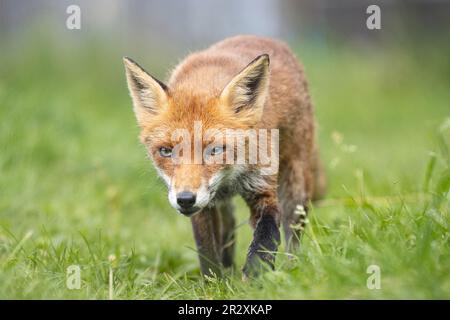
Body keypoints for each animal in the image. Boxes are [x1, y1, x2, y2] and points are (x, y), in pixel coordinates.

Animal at [125, 35, 326, 278]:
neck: (230, 179)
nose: (185, 199)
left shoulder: (262, 189)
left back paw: (292, 269)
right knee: (228, 229)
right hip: (223, 205)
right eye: (166, 151)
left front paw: (256, 272)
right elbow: (207, 251)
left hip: (295, 185)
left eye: (215, 150)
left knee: (292, 238)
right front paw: (214, 281)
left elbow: (266, 236)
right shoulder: (204, 208)